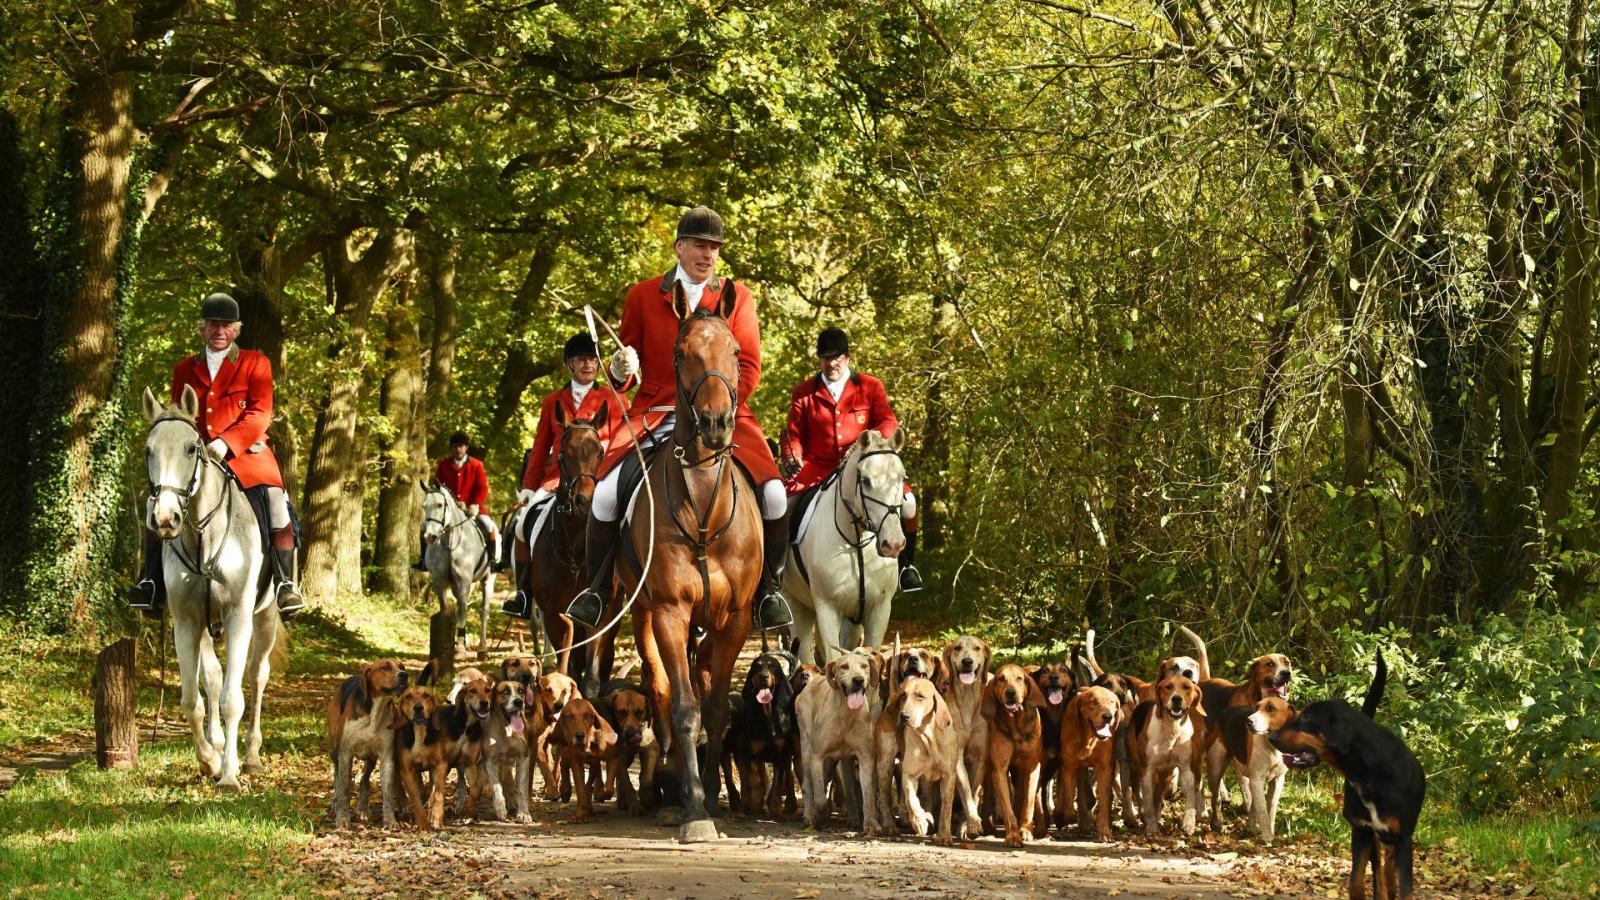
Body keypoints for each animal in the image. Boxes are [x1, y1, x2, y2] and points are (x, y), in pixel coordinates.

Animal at [142, 384, 286, 784]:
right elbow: (194, 697)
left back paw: (250, 754)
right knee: (214, 678)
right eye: (148, 450)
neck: (203, 535)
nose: (165, 519)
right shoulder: (186, 621)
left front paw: (230, 775)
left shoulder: (238, 616)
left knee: (256, 676)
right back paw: (219, 746)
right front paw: (209, 758)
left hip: (265, 618)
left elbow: (233, 699)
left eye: (192, 448)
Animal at [419, 477, 492, 659]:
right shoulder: (439, 582)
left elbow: (461, 611)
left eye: (439, 505)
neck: (450, 543)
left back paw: (482, 647)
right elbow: (445, 610)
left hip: (487, 580)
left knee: (483, 611)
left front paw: (459, 648)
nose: (430, 537)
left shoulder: (463, 582)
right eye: (424, 506)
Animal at [518, 403, 617, 688]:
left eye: (600, 452)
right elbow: (569, 664)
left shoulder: (600, 613)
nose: (586, 501)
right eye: (562, 455)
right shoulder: (554, 614)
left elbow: (591, 670)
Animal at [787, 432, 915, 662]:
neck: (857, 543)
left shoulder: (878, 609)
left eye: (902, 478)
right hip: (795, 603)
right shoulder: (827, 609)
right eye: (865, 480)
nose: (893, 544)